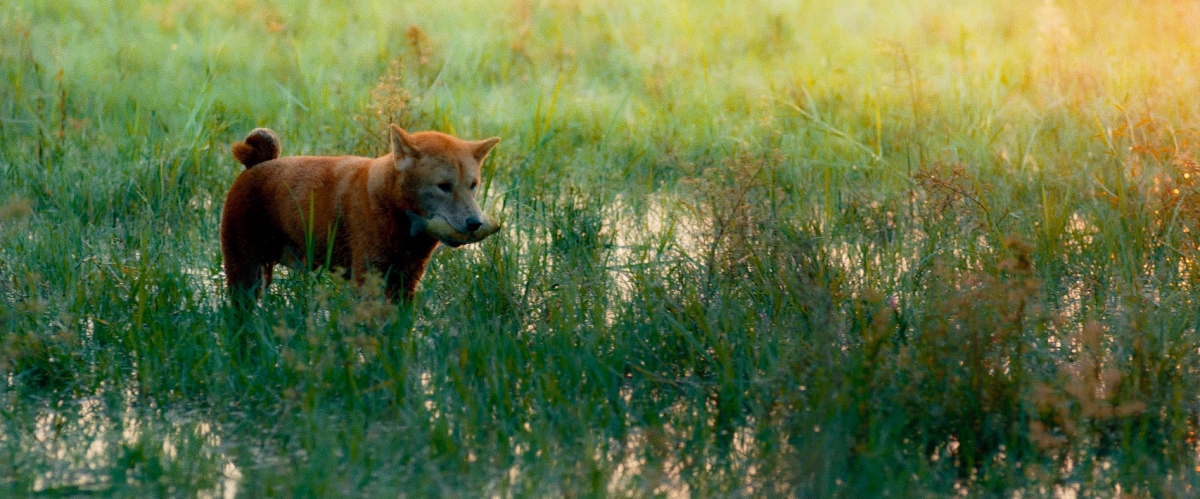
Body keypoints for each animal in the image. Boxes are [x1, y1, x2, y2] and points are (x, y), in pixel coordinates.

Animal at [220, 125, 501, 304]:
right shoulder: (369, 278)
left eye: (473, 185)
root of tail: (256, 165)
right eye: (444, 186)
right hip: (245, 273)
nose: (475, 223)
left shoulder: (406, 281)